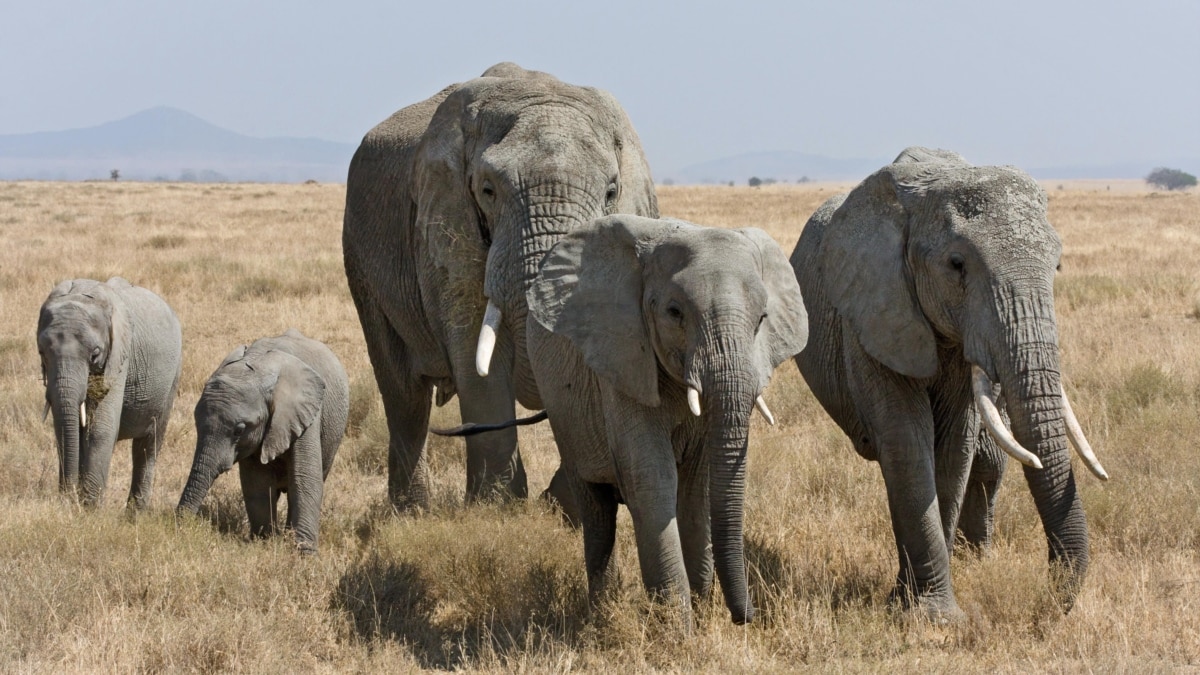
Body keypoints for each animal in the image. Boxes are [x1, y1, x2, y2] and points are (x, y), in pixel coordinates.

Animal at [36, 276, 182, 506]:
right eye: (42, 352)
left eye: (95, 354)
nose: (68, 496)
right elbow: (67, 428)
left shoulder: (121, 356)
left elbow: (101, 429)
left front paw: (89, 507)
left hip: (172, 377)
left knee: (148, 446)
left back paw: (135, 513)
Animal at [175, 326, 350, 552]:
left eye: (239, 430)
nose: (181, 526)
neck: (258, 364)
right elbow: (256, 481)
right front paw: (264, 542)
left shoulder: (305, 413)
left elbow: (305, 478)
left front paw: (304, 554)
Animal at [343, 61, 657, 509]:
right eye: (488, 190)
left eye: (612, 191)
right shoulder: (446, 223)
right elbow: (475, 349)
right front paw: (497, 507)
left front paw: (562, 504)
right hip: (361, 256)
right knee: (404, 393)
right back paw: (412, 511)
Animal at [525, 213, 806, 619]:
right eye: (675, 313)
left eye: (761, 320)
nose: (749, 615)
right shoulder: (622, 358)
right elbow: (652, 478)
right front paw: (676, 624)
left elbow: (696, 486)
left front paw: (701, 614)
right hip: (565, 412)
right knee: (596, 511)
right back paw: (603, 613)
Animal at [792, 148, 1108, 619]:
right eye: (956, 265)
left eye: (1057, 265)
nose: (1048, 602)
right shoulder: (873, 315)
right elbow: (908, 442)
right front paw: (928, 616)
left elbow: (954, 446)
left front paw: (917, 606)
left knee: (989, 459)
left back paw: (973, 557)